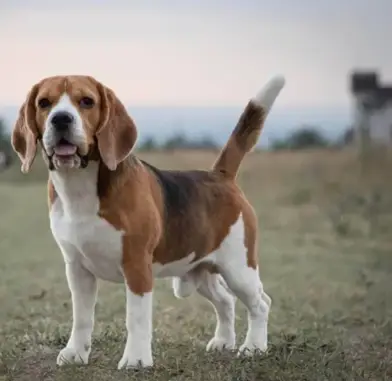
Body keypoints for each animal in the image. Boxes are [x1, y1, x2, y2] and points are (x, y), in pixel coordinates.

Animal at [11, 74, 284, 368]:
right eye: (44, 103)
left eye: (86, 101)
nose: (61, 119)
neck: (80, 187)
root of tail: (220, 175)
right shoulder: (77, 269)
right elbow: (82, 317)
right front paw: (75, 353)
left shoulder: (137, 265)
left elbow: (136, 318)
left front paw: (136, 360)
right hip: (199, 270)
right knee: (226, 301)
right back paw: (223, 342)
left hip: (238, 268)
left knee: (260, 303)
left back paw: (254, 347)